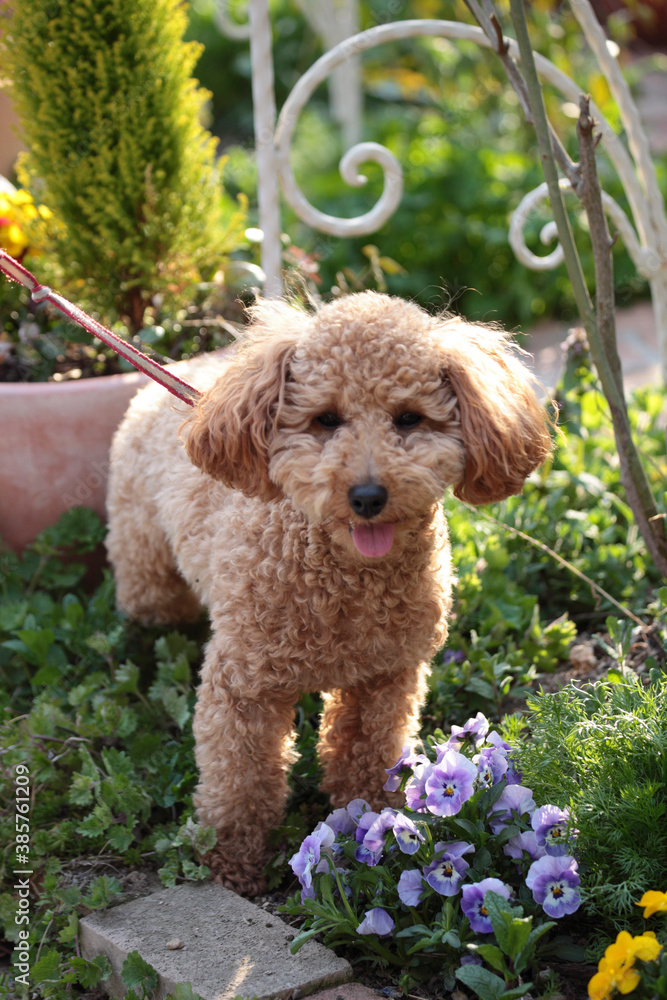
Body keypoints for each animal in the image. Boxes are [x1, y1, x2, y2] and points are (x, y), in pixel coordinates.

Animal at [106, 291, 551, 895]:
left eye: (408, 418)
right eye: (326, 420)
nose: (367, 495)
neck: (344, 577)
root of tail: (171, 374)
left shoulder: (386, 675)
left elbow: (364, 755)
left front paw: (375, 826)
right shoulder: (243, 686)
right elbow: (240, 779)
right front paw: (232, 861)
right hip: (145, 563)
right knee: (148, 604)